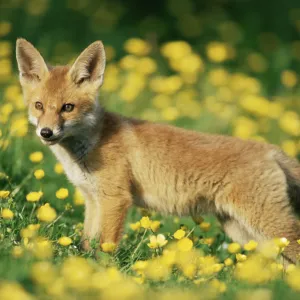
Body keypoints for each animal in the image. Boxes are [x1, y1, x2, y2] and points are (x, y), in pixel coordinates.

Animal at [15, 38, 300, 262]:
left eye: (68, 107)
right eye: (39, 106)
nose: (46, 133)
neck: (91, 144)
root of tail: (270, 149)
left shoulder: (115, 199)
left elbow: (105, 247)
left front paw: (104, 273)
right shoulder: (93, 200)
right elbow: (87, 244)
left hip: (265, 225)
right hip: (243, 232)